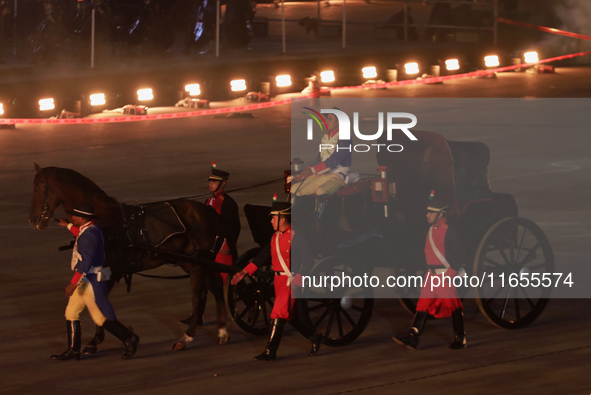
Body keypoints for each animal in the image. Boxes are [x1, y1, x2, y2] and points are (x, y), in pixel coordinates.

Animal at [28, 164, 230, 352]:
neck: (104, 220)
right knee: (215, 287)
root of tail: (210, 212)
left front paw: (101, 340)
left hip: (197, 264)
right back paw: (222, 330)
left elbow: (99, 305)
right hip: (191, 262)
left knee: (198, 297)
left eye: (37, 189)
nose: (32, 220)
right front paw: (100, 340)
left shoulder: (108, 272)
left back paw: (187, 337)